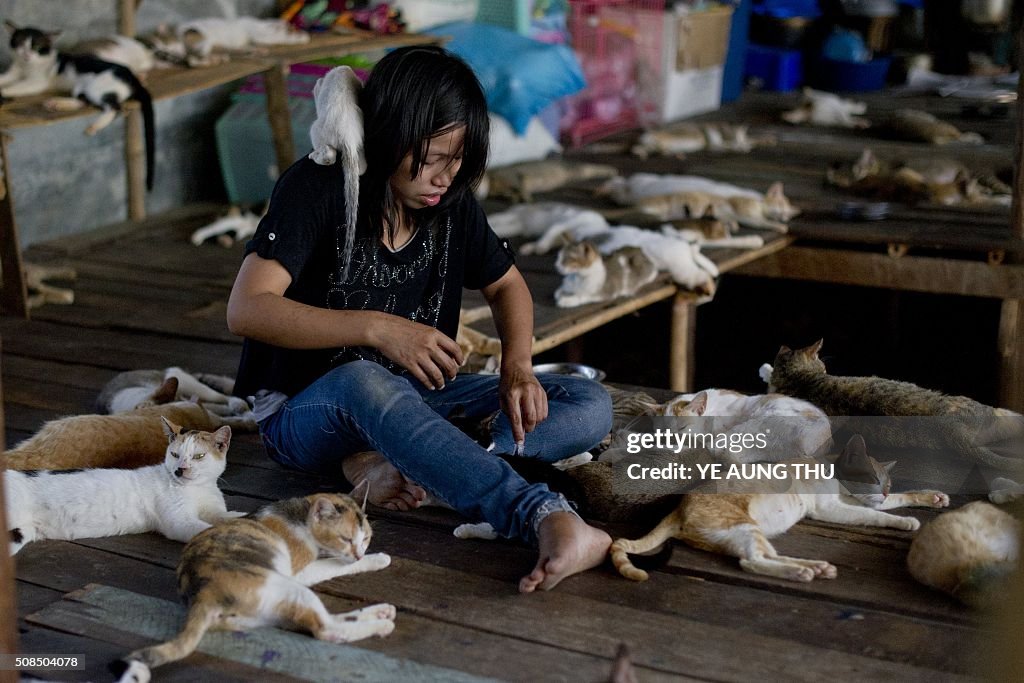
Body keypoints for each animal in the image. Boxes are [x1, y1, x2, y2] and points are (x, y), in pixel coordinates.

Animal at [0, 23, 155, 189]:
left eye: (37, 47)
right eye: (20, 43)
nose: (26, 55)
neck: (26, 67)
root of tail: (131, 75)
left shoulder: (37, 82)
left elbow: (17, 86)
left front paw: (4, 91)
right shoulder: (13, 73)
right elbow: (5, 78)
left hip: (97, 87)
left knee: (114, 108)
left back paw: (94, 125)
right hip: (81, 88)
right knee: (84, 101)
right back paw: (57, 103)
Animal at [6, 417, 241, 557]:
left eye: (198, 456)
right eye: (175, 455)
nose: (180, 470)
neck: (198, 489)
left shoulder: (214, 509)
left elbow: (226, 517)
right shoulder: (179, 522)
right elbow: (207, 528)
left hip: (20, 533)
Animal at [114, 491, 393, 683]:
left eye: (366, 538)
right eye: (346, 539)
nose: (359, 553)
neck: (300, 513)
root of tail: (202, 595)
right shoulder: (301, 572)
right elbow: (336, 563)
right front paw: (375, 559)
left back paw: (381, 612)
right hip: (285, 584)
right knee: (327, 630)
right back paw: (381, 625)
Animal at [610, 436, 946, 585]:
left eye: (887, 482)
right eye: (874, 479)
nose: (884, 489)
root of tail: (678, 509)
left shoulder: (856, 501)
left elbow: (898, 499)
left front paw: (933, 498)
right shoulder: (834, 509)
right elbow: (876, 514)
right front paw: (904, 522)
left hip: (750, 531)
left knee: (766, 555)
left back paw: (815, 567)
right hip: (743, 527)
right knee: (752, 562)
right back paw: (800, 572)